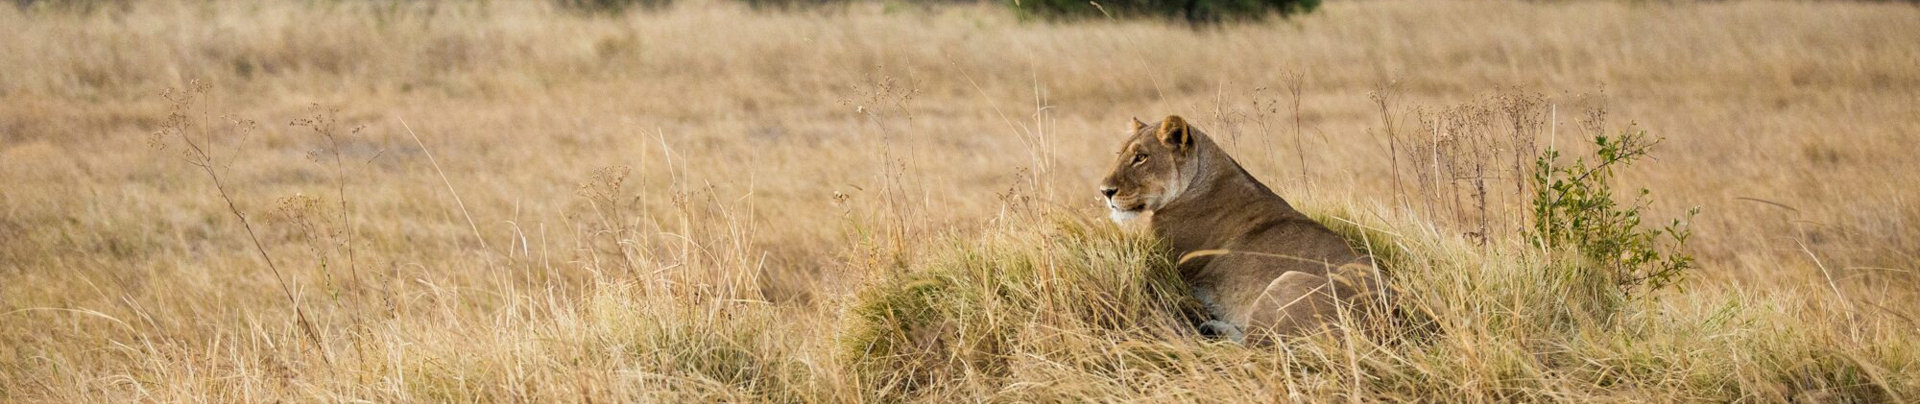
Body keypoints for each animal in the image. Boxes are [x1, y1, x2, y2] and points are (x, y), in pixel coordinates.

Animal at [1098, 115, 1389, 344]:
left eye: (1141, 157)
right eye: (1120, 155)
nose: (1105, 191)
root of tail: (1389, 328)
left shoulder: (1166, 260)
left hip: (1286, 283)